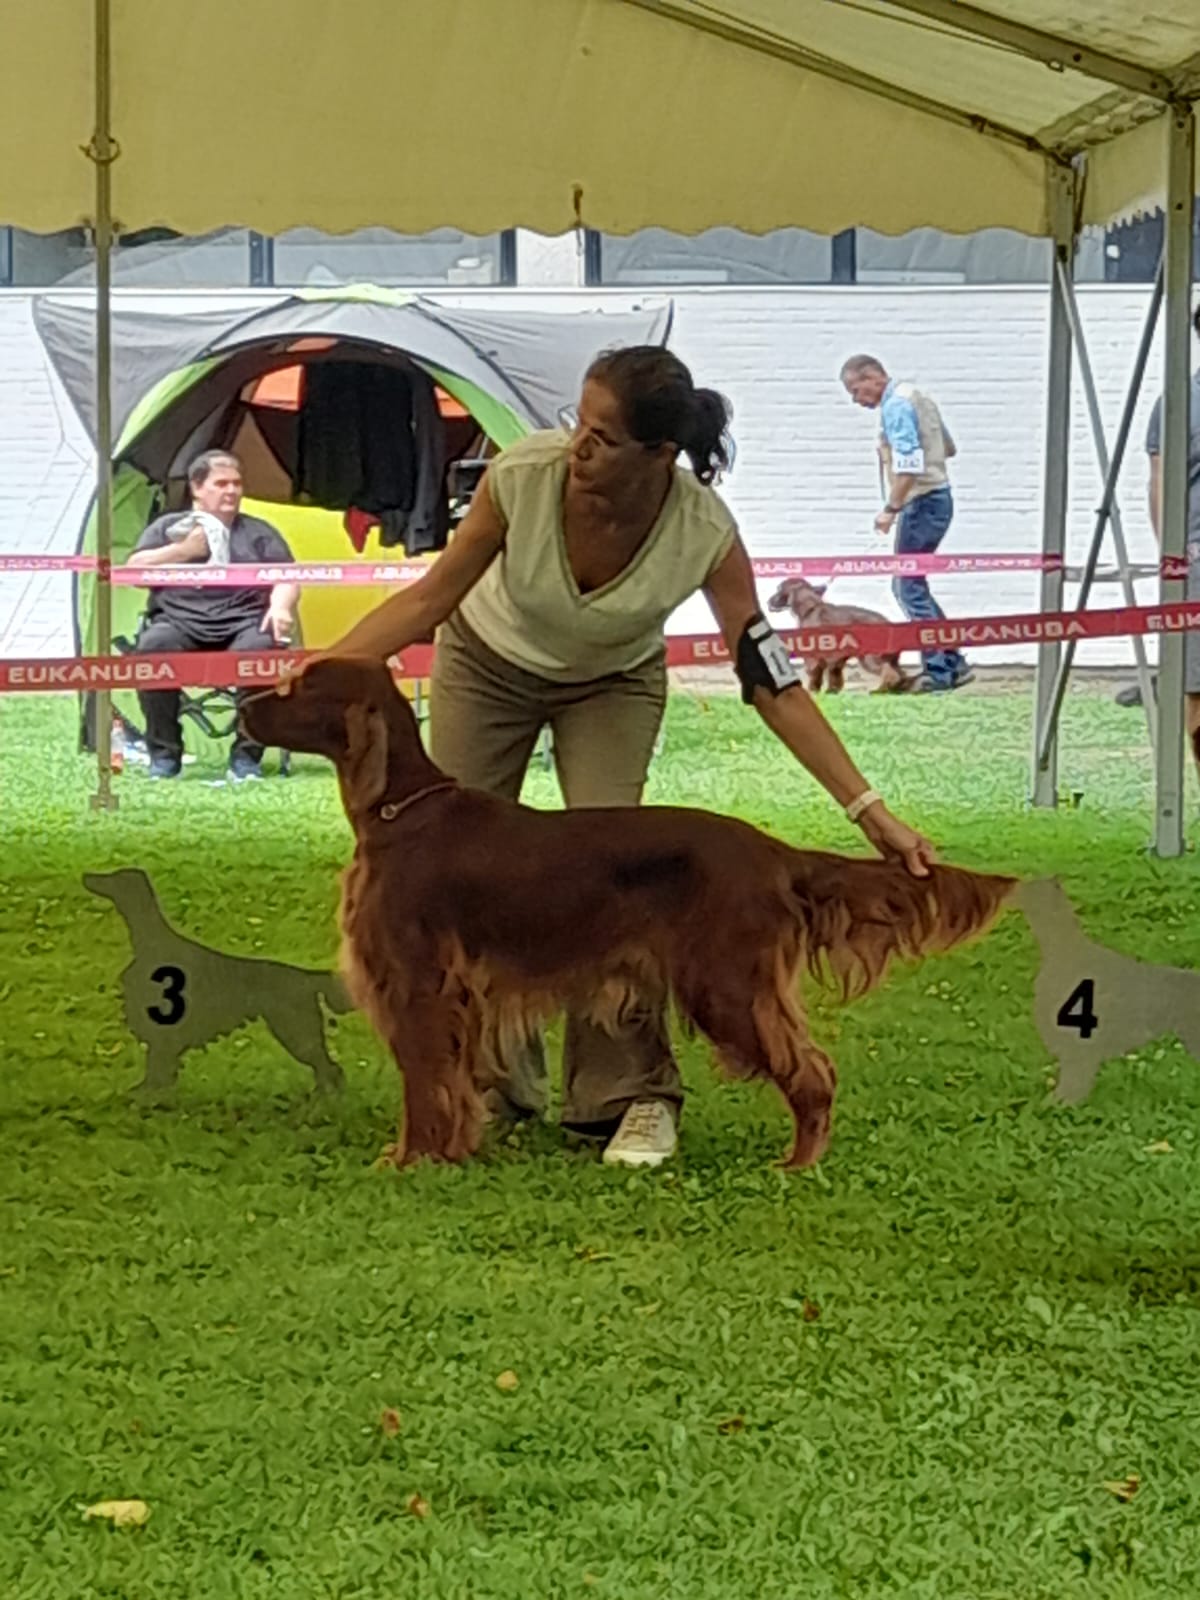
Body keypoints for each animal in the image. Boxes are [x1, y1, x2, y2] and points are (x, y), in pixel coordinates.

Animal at [241, 656, 1017, 1171]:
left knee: (813, 1071)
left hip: (726, 984)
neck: (400, 811)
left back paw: (798, 1164)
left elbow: (424, 1086)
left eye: (297, 685)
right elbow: (450, 1085)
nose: (246, 707)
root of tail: (772, 851)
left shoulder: (418, 985)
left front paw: (413, 1160)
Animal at [771, 582, 908, 694]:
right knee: (901, 674)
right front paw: (831, 691)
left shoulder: (815, 655)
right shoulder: (835, 658)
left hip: (870, 658)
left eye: (779, 588)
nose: (769, 601)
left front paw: (814, 691)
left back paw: (879, 691)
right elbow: (834, 674)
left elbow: (815, 672)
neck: (811, 610)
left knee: (890, 673)